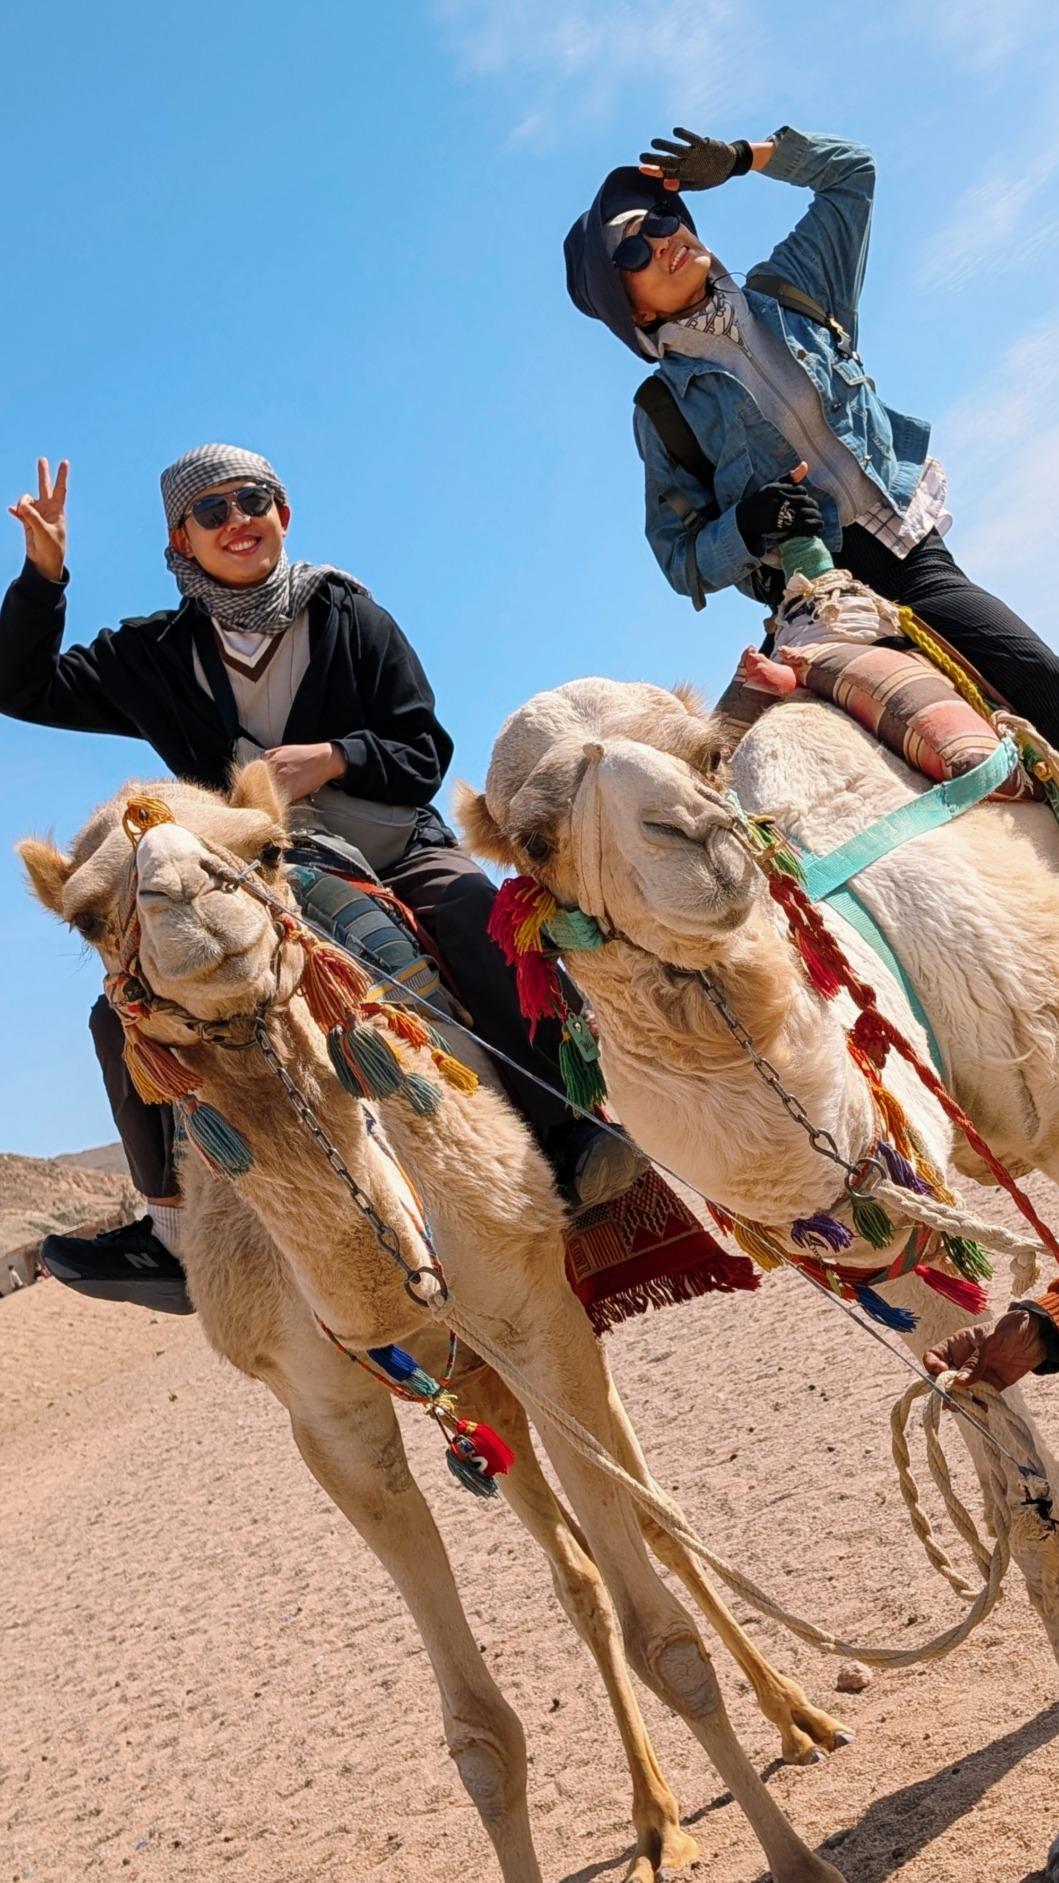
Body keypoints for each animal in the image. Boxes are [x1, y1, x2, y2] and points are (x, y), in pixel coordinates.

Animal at [20, 764, 844, 1883]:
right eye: (92, 914)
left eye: (265, 847)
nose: (191, 896)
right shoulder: (330, 1421)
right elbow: (482, 1734)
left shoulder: (538, 1317)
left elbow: (663, 1636)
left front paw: (798, 1858)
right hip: (479, 1383)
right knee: (577, 1569)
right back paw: (655, 1818)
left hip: (551, 1329)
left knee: (657, 1521)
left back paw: (798, 1717)